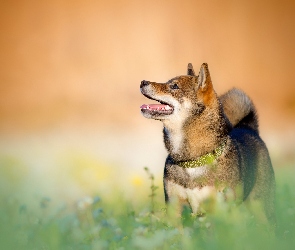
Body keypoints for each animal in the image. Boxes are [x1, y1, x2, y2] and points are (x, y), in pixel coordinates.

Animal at [140, 62, 276, 223]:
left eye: (174, 86)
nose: (142, 82)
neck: (192, 161)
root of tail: (248, 127)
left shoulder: (218, 208)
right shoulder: (175, 206)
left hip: (261, 208)